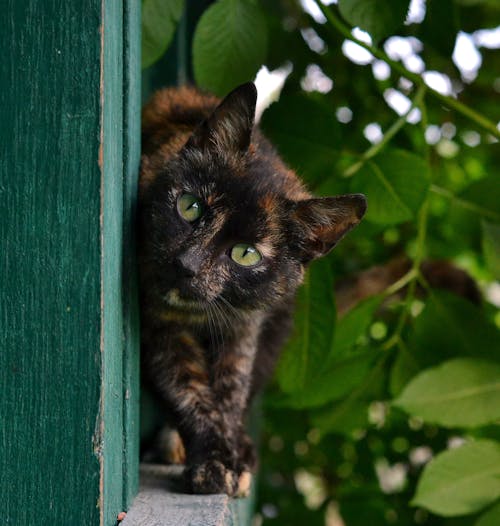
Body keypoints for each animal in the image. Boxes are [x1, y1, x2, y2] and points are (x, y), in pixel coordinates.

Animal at [139, 82, 366, 500]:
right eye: (189, 207)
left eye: (246, 254)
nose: (186, 265)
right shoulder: (160, 324)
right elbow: (187, 389)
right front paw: (212, 463)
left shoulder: (245, 326)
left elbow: (232, 388)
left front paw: (231, 456)